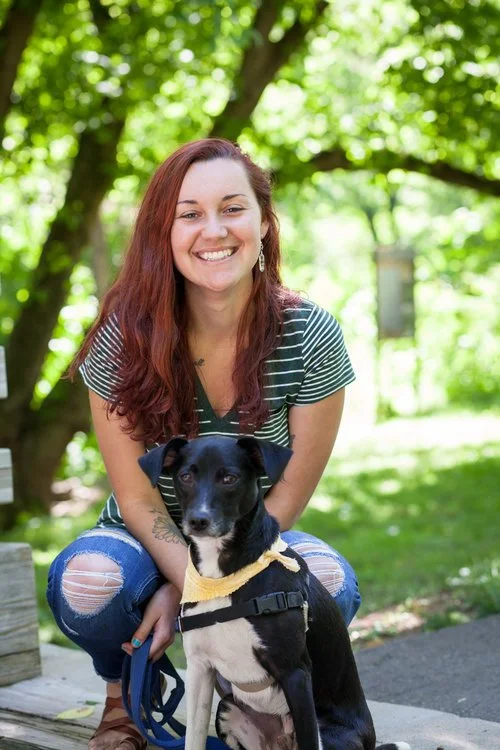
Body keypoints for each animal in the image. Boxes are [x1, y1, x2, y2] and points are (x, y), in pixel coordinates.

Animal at [139, 435, 410, 750]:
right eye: (185, 477)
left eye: (229, 478)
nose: (198, 521)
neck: (224, 579)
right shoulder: (199, 669)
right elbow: (193, 740)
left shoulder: (295, 673)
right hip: (229, 708)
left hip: (327, 731)